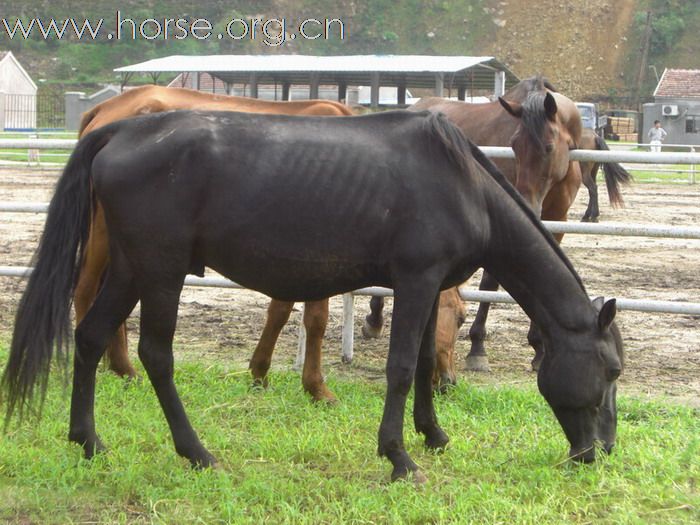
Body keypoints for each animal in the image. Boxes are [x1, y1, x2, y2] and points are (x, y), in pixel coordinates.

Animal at [74, 85, 352, 402]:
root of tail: (105, 108)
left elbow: (280, 312)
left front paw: (260, 372)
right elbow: (316, 320)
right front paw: (317, 387)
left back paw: (123, 369)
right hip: (104, 231)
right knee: (85, 290)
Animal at [366, 75, 584, 374]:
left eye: (549, 147)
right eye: (514, 145)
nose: (527, 202)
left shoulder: (557, 220)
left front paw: (540, 348)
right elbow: (491, 282)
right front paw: (478, 347)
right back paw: (374, 319)